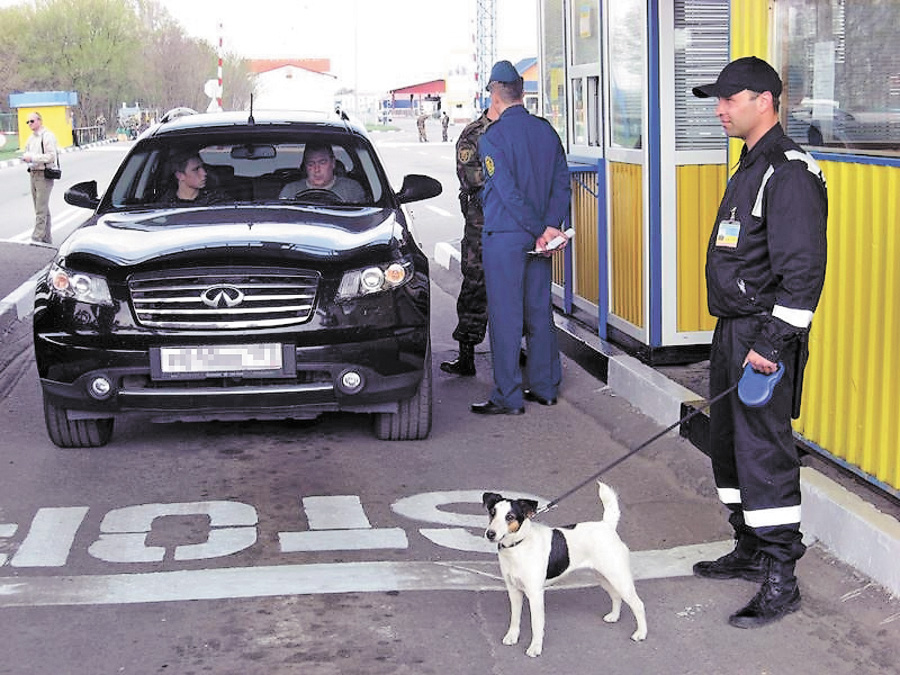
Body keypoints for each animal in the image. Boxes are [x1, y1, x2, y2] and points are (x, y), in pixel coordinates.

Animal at [486, 484, 648, 656]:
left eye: (510, 516)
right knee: (616, 596)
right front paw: (512, 636)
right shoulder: (513, 590)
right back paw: (614, 617)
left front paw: (535, 647)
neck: (518, 545)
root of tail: (607, 526)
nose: (490, 534)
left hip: (619, 578)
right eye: (492, 513)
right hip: (604, 577)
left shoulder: (535, 594)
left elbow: (536, 624)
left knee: (638, 604)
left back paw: (641, 633)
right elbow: (514, 618)